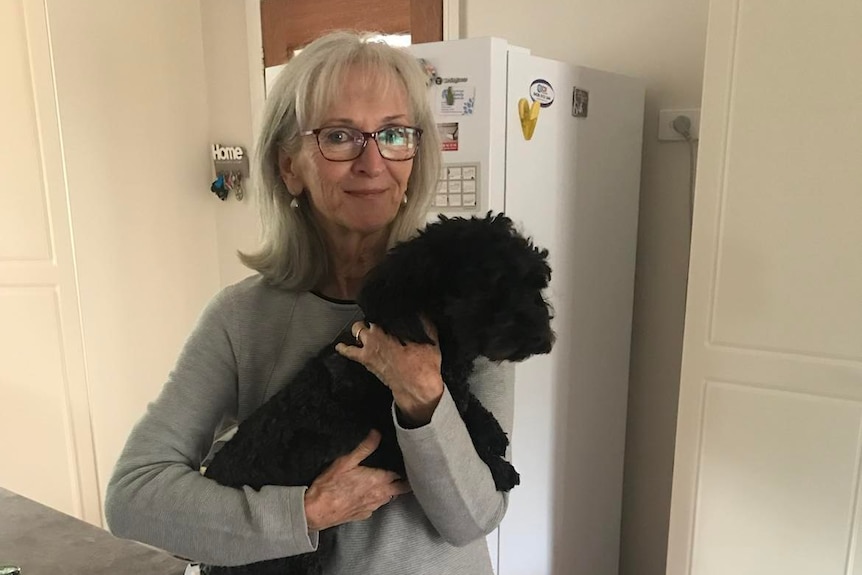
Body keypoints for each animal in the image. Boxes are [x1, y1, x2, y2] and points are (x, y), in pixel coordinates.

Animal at [200, 213, 556, 575]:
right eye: (487, 284)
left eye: (534, 284)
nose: (541, 335)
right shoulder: (386, 448)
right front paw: (498, 466)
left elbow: (464, 404)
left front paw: (490, 430)